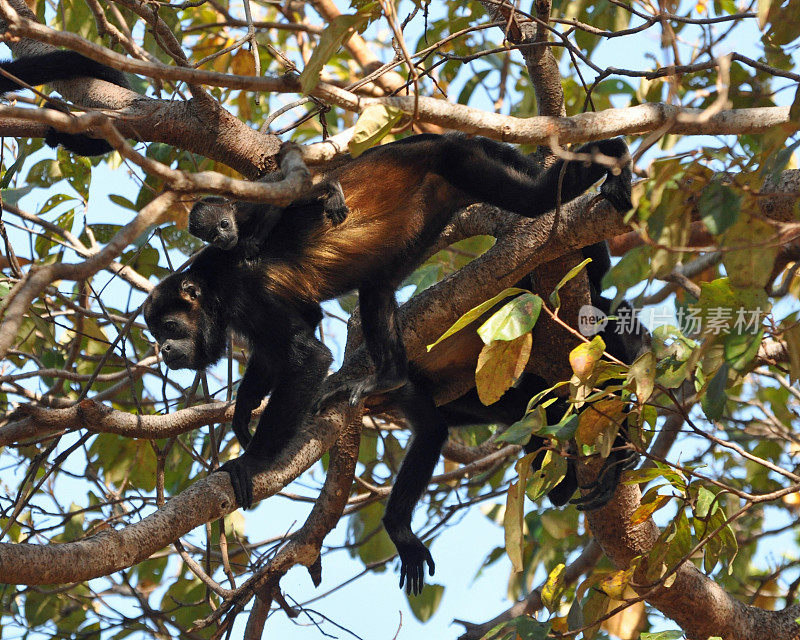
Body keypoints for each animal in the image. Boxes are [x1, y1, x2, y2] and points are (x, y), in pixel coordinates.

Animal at [142, 134, 632, 596]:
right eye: (155, 334)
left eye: (169, 326)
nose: (164, 351)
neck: (212, 289)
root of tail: (437, 138)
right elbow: (295, 333)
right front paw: (243, 412)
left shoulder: (247, 290)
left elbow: (307, 357)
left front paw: (252, 461)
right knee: (377, 287)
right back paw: (389, 375)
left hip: (456, 164)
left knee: (534, 199)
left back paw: (613, 155)